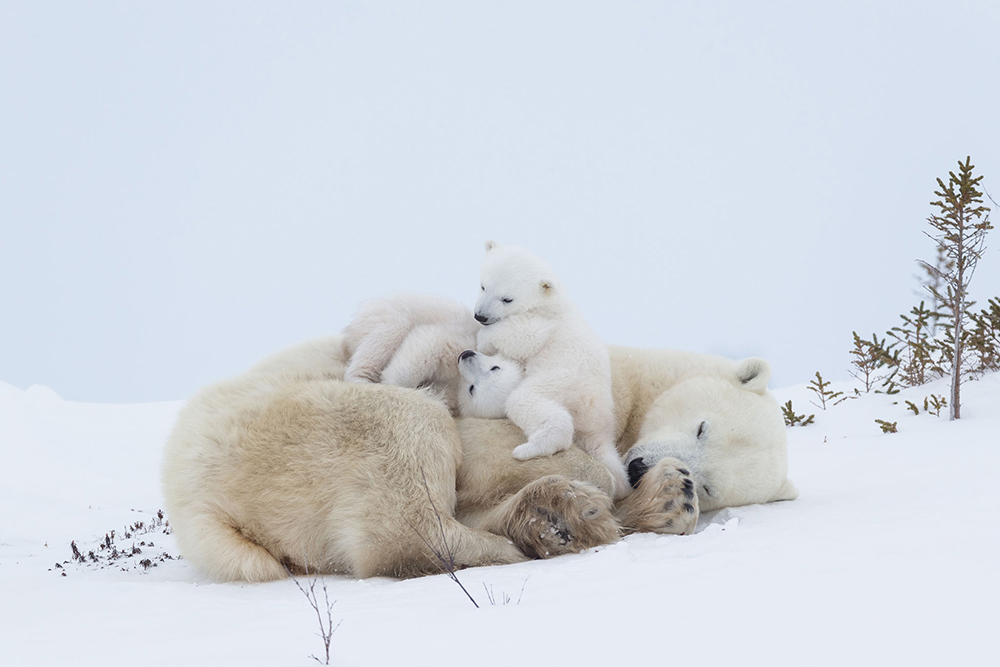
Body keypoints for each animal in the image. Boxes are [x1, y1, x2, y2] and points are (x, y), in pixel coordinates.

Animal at [158, 336, 796, 580]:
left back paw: (579, 516)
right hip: (301, 422)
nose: (640, 467)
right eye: (701, 424)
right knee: (410, 457)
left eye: (714, 486)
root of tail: (193, 500)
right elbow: (502, 445)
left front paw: (671, 493)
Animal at [474, 243, 624, 498]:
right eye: (483, 285)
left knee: (529, 403)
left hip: (558, 381)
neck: (552, 301)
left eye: (507, 299)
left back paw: (530, 448)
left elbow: (522, 337)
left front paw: (484, 340)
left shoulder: (544, 323)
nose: (480, 316)